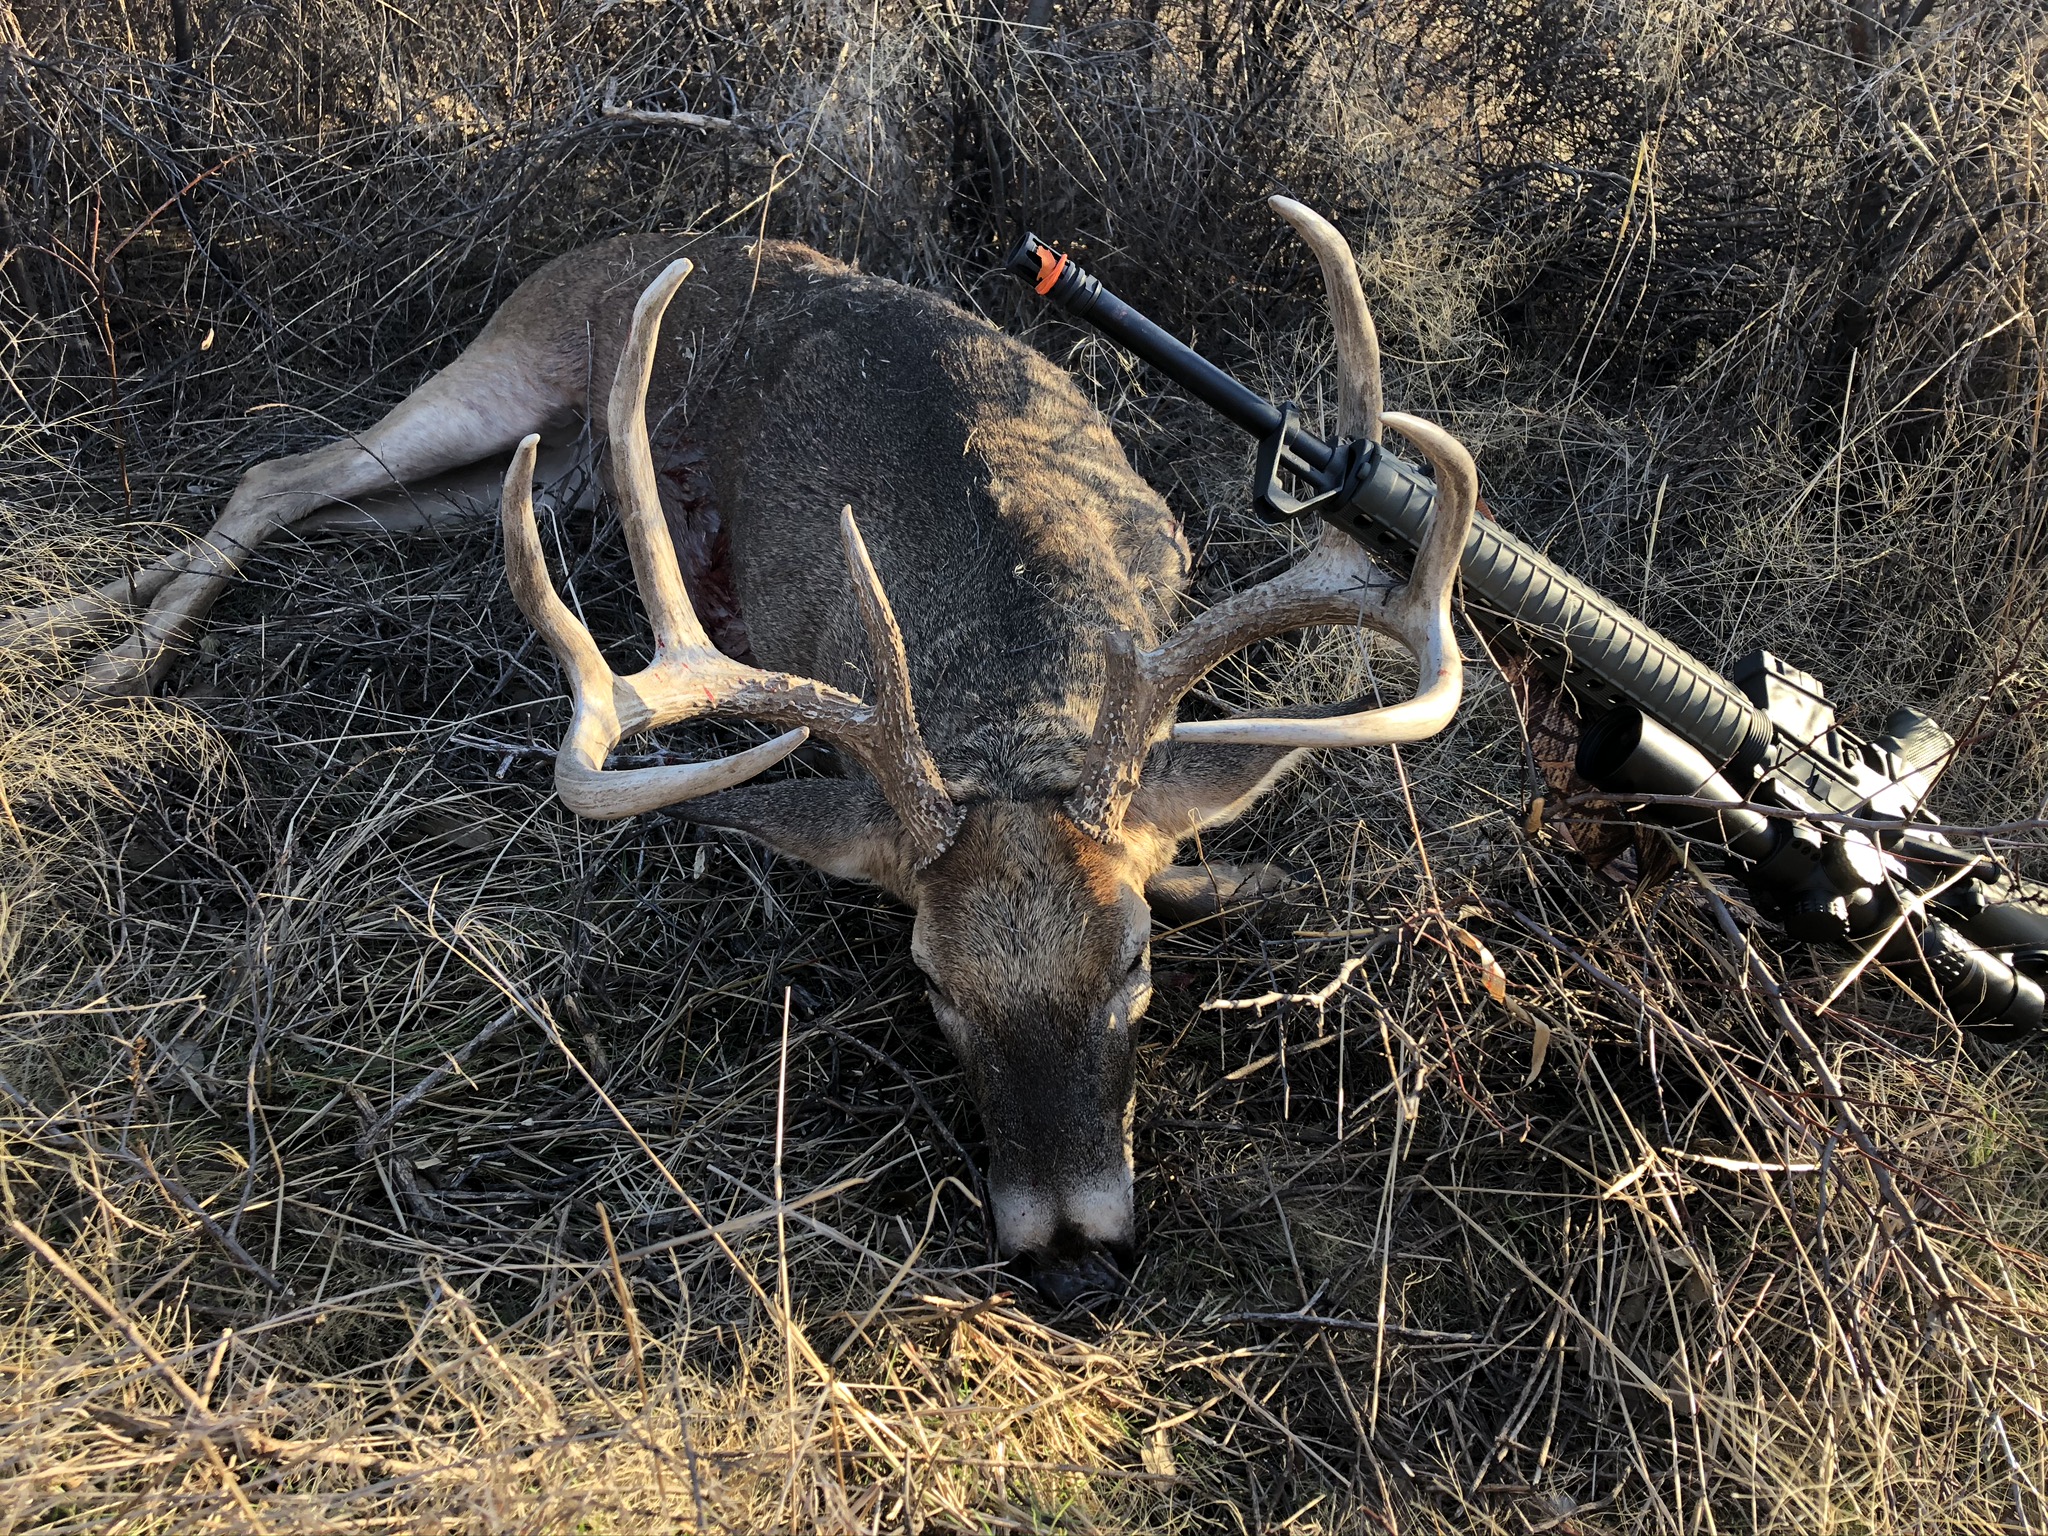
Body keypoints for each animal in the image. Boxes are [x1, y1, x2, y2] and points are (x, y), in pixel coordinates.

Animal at [4, 199, 1476, 1305]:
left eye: (1133, 965)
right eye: (927, 982)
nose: (1070, 1258)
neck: (1006, 636)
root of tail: (636, 233)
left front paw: (1241, 879)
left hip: (535, 480)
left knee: (321, 505)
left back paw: (61, 630)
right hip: (504, 364)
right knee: (283, 476)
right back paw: (109, 663)